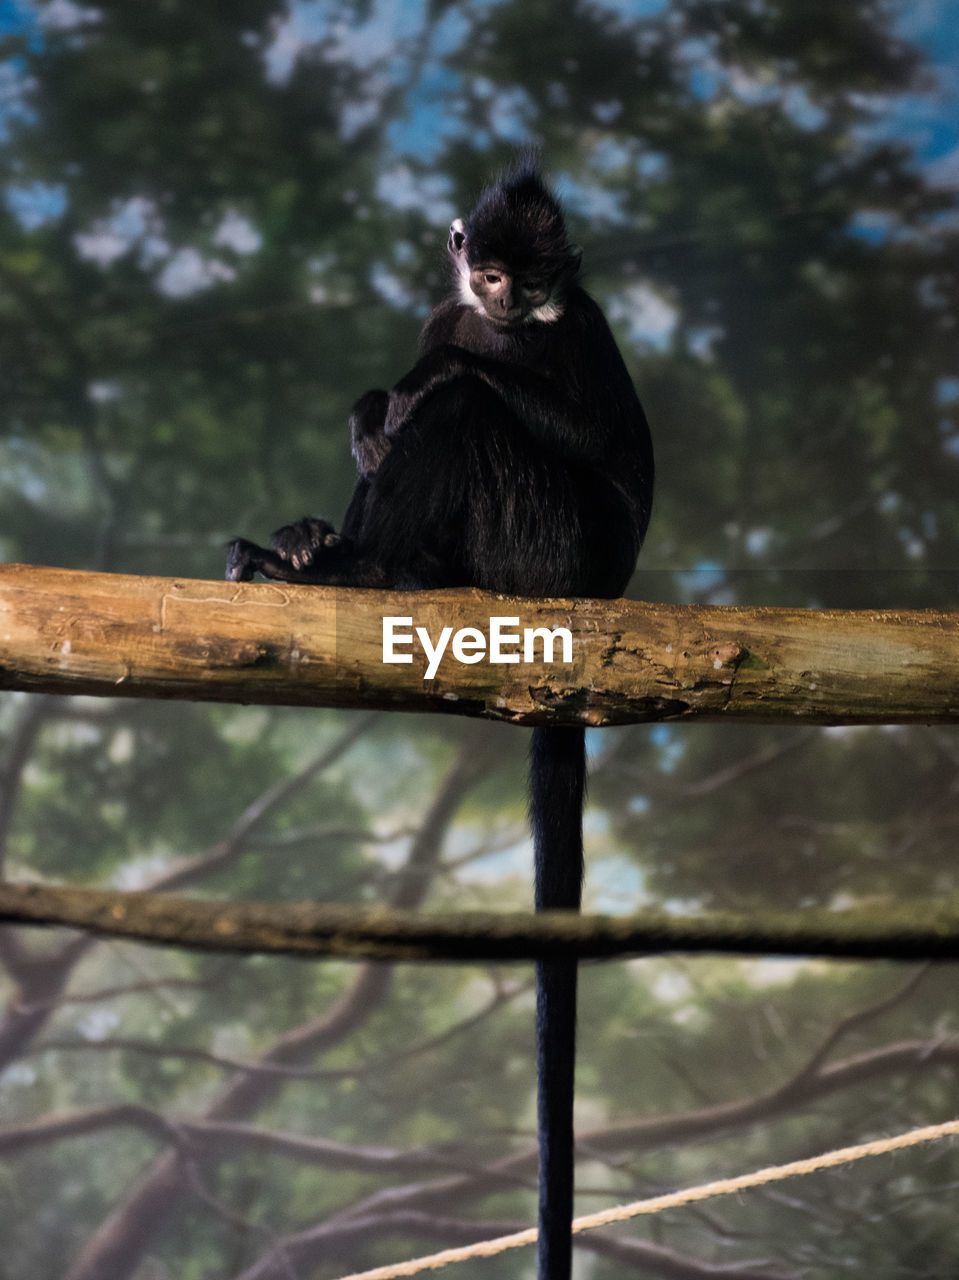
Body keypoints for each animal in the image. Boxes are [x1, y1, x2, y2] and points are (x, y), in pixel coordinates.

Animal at [227, 162, 655, 1280]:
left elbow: (562, 421)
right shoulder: (449, 309)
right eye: (490, 271)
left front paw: (419, 387)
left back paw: (358, 563)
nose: (506, 301)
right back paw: (314, 548)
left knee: (466, 408)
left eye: (536, 279)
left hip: (540, 545)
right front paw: (367, 410)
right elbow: (404, 387)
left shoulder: (575, 323)